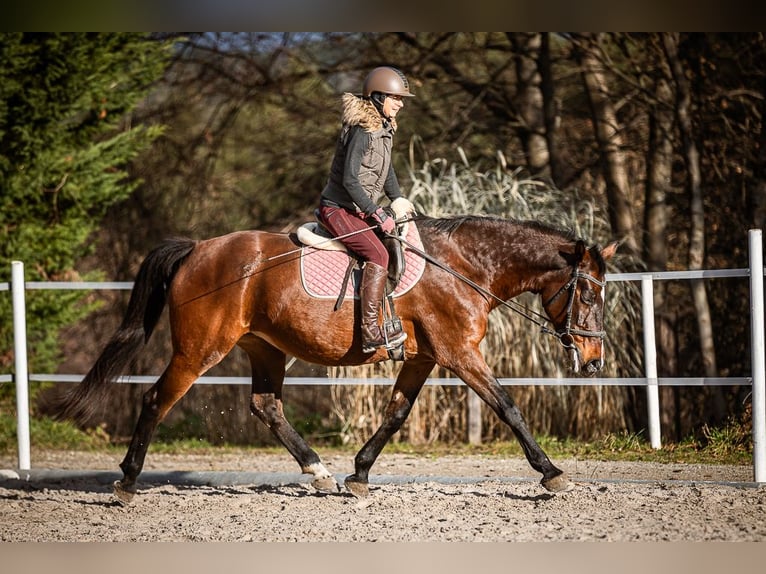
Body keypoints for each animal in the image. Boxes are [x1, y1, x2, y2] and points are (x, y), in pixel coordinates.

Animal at [55, 216, 616, 504]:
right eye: (588, 294)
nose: (593, 360)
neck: (462, 266)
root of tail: (198, 248)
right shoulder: (460, 354)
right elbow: (507, 407)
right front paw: (551, 473)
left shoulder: (425, 358)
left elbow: (395, 414)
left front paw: (359, 474)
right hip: (199, 351)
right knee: (156, 399)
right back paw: (127, 483)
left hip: (265, 347)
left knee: (267, 407)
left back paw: (319, 471)